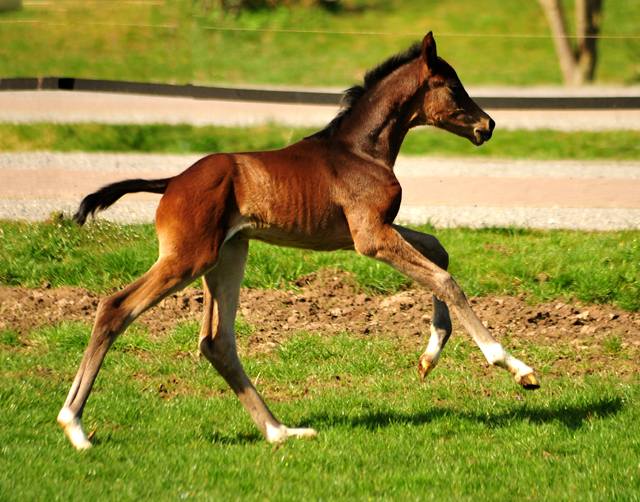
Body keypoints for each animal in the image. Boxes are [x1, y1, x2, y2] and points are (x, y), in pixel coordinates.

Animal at [58, 32, 540, 452]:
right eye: (453, 86)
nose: (488, 125)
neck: (359, 151)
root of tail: (172, 181)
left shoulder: (370, 230)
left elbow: (439, 250)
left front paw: (429, 356)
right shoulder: (370, 237)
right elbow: (444, 279)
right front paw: (514, 366)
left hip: (227, 255)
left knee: (217, 341)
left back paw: (280, 432)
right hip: (188, 258)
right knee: (115, 307)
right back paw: (75, 426)